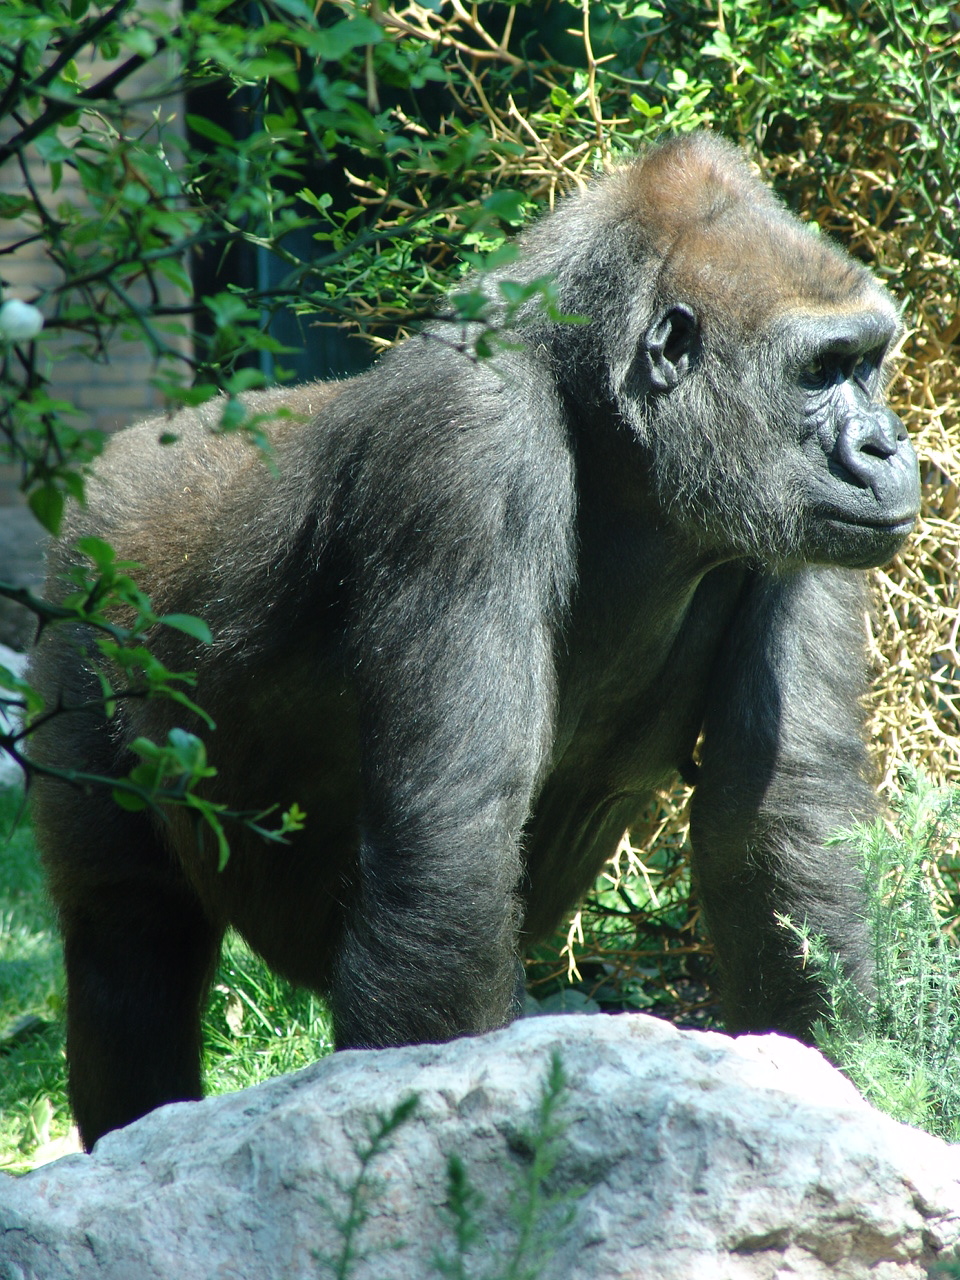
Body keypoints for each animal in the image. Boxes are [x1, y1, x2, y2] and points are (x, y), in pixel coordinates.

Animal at [27, 132, 921, 1150]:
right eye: (822, 371)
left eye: (868, 363)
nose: (888, 448)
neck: (609, 416)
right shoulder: (464, 442)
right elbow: (452, 836)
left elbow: (783, 811)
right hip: (84, 599)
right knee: (127, 937)